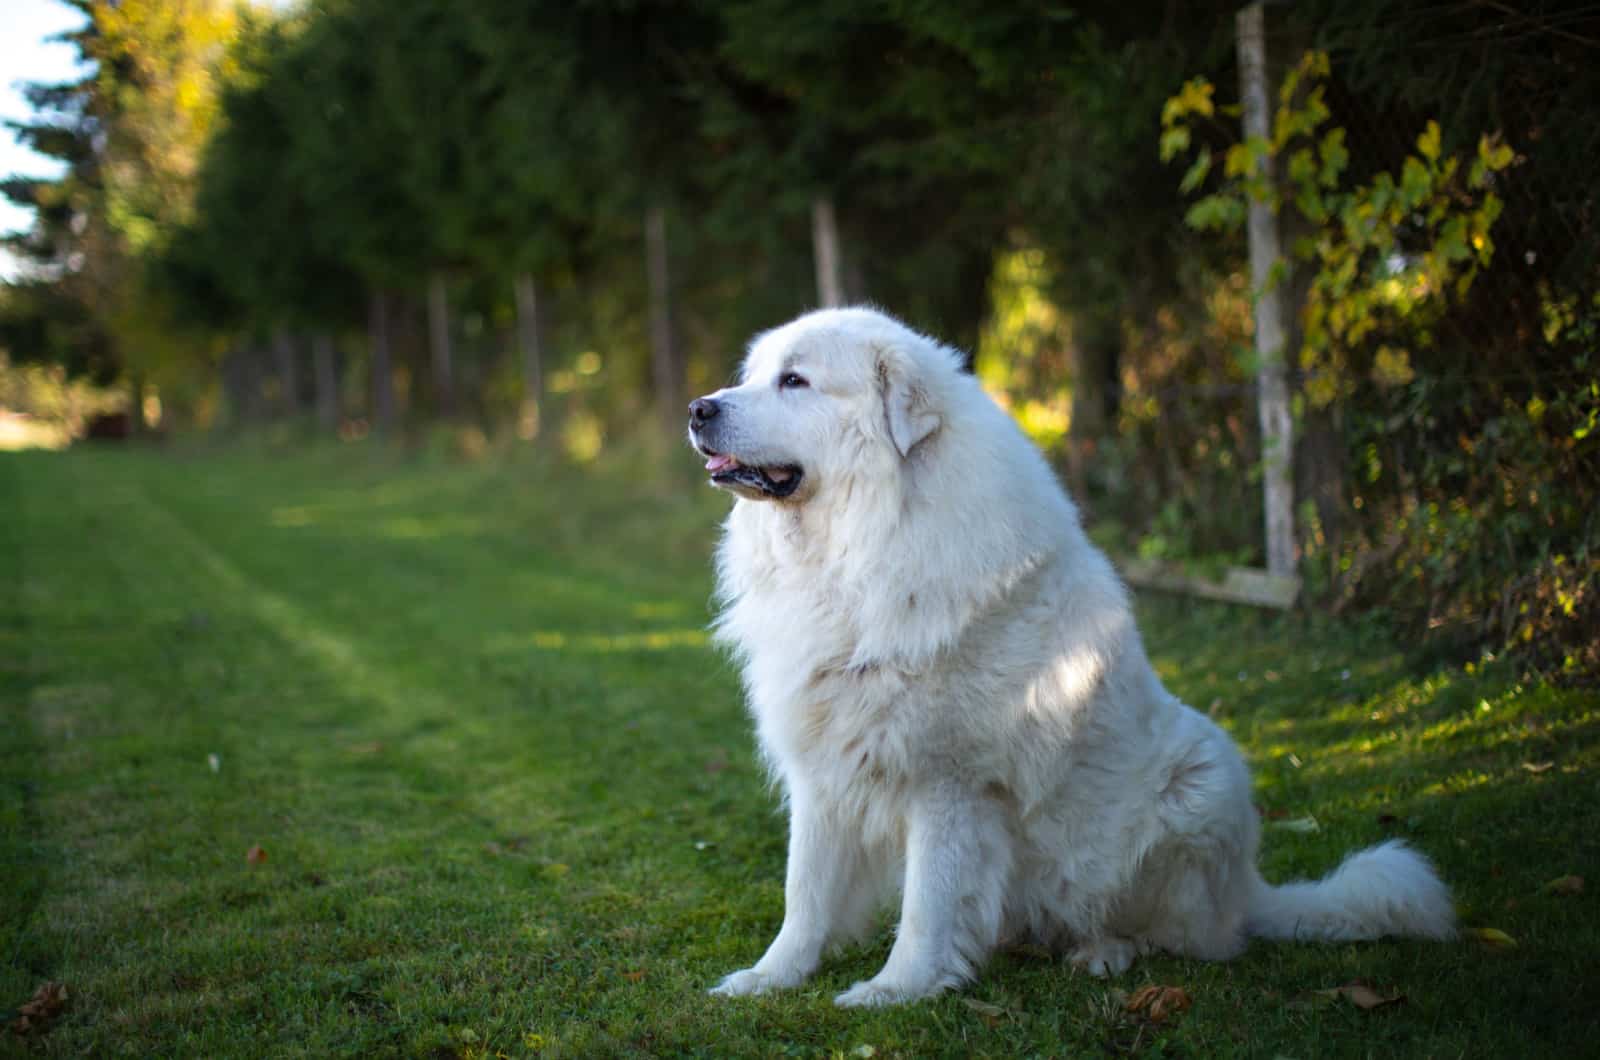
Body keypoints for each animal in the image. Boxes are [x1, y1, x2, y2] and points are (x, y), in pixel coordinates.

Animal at [681, 309, 1459, 1011]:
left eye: (795, 380)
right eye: (754, 374)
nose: (698, 408)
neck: (864, 547)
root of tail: (1249, 893)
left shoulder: (948, 783)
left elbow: (928, 902)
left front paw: (897, 989)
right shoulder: (823, 766)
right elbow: (805, 891)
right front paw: (770, 977)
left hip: (1201, 779)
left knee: (1184, 939)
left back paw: (1105, 953)